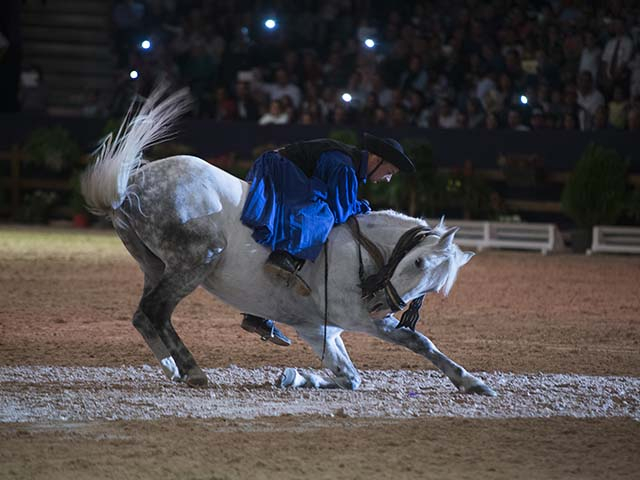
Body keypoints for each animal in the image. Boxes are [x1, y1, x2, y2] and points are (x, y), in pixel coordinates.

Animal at [81, 84, 496, 396]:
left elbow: (360, 372)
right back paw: (193, 371)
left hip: (155, 265)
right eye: (418, 262)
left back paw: (172, 368)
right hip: (194, 262)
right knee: (156, 311)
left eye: (436, 287)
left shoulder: (320, 328)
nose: (379, 303)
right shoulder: (353, 318)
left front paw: (472, 383)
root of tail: (129, 187)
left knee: (143, 315)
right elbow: (397, 351)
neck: (363, 254)